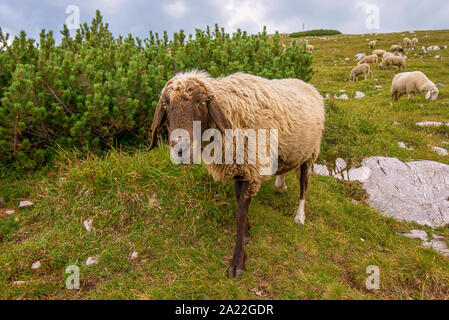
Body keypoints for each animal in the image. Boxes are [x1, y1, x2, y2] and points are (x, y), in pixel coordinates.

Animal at [149, 70, 324, 278]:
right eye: (166, 104)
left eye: (202, 101)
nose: (181, 150)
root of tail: (307, 85)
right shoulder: (239, 167)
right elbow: (238, 199)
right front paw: (247, 232)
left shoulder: (252, 170)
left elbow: (240, 214)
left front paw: (238, 261)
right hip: (291, 148)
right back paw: (280, 185)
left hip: (310, 152)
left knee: (304, 185)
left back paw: (299, 216)